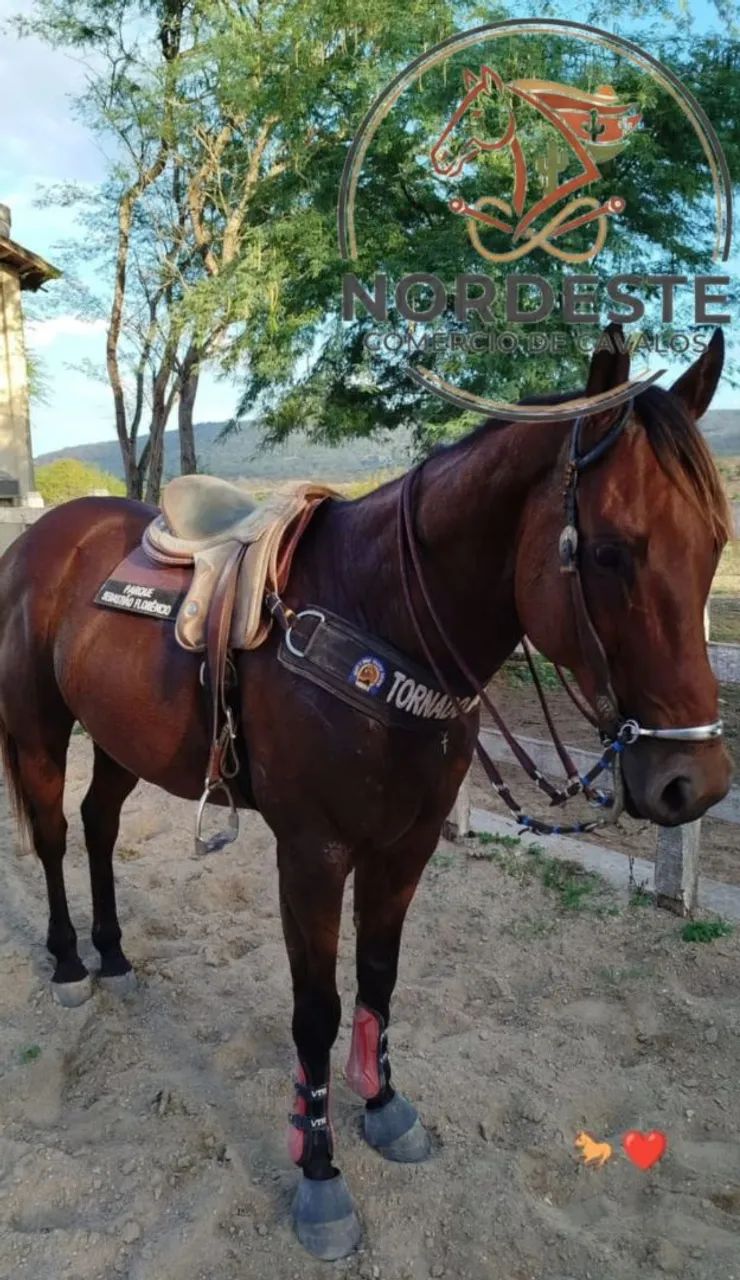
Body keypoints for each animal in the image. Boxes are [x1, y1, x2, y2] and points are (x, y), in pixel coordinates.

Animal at [0, 327, 732, 1259]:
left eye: (714, 544)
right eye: (610, 552)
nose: (694, 783)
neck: (380, 619)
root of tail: (44, 534)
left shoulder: (406, 845)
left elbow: (379, 976)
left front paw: (382, 1104)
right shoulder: (312, 856)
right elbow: (315, 1010)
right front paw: (318, 1172)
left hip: (121, 737)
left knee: (98, 826)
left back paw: (116, 956)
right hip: (37, 728)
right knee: (56, 835)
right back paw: (68, 963)